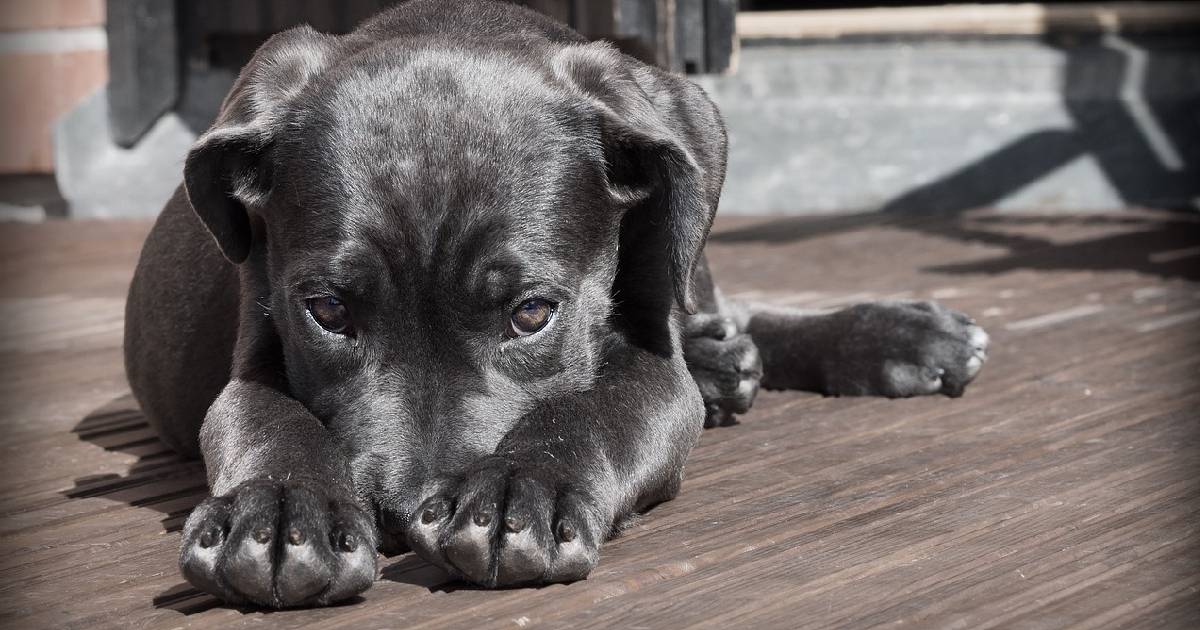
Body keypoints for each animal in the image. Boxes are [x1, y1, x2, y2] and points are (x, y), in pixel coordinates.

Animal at [121, 0, 988, 609]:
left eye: (532, 314)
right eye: (328, 311)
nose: (401, 515)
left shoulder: (650, 365)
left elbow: (596, 410)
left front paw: (518, 490)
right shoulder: (256, 347)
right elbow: (266, 418)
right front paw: (277, 513)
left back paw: (892, 336)